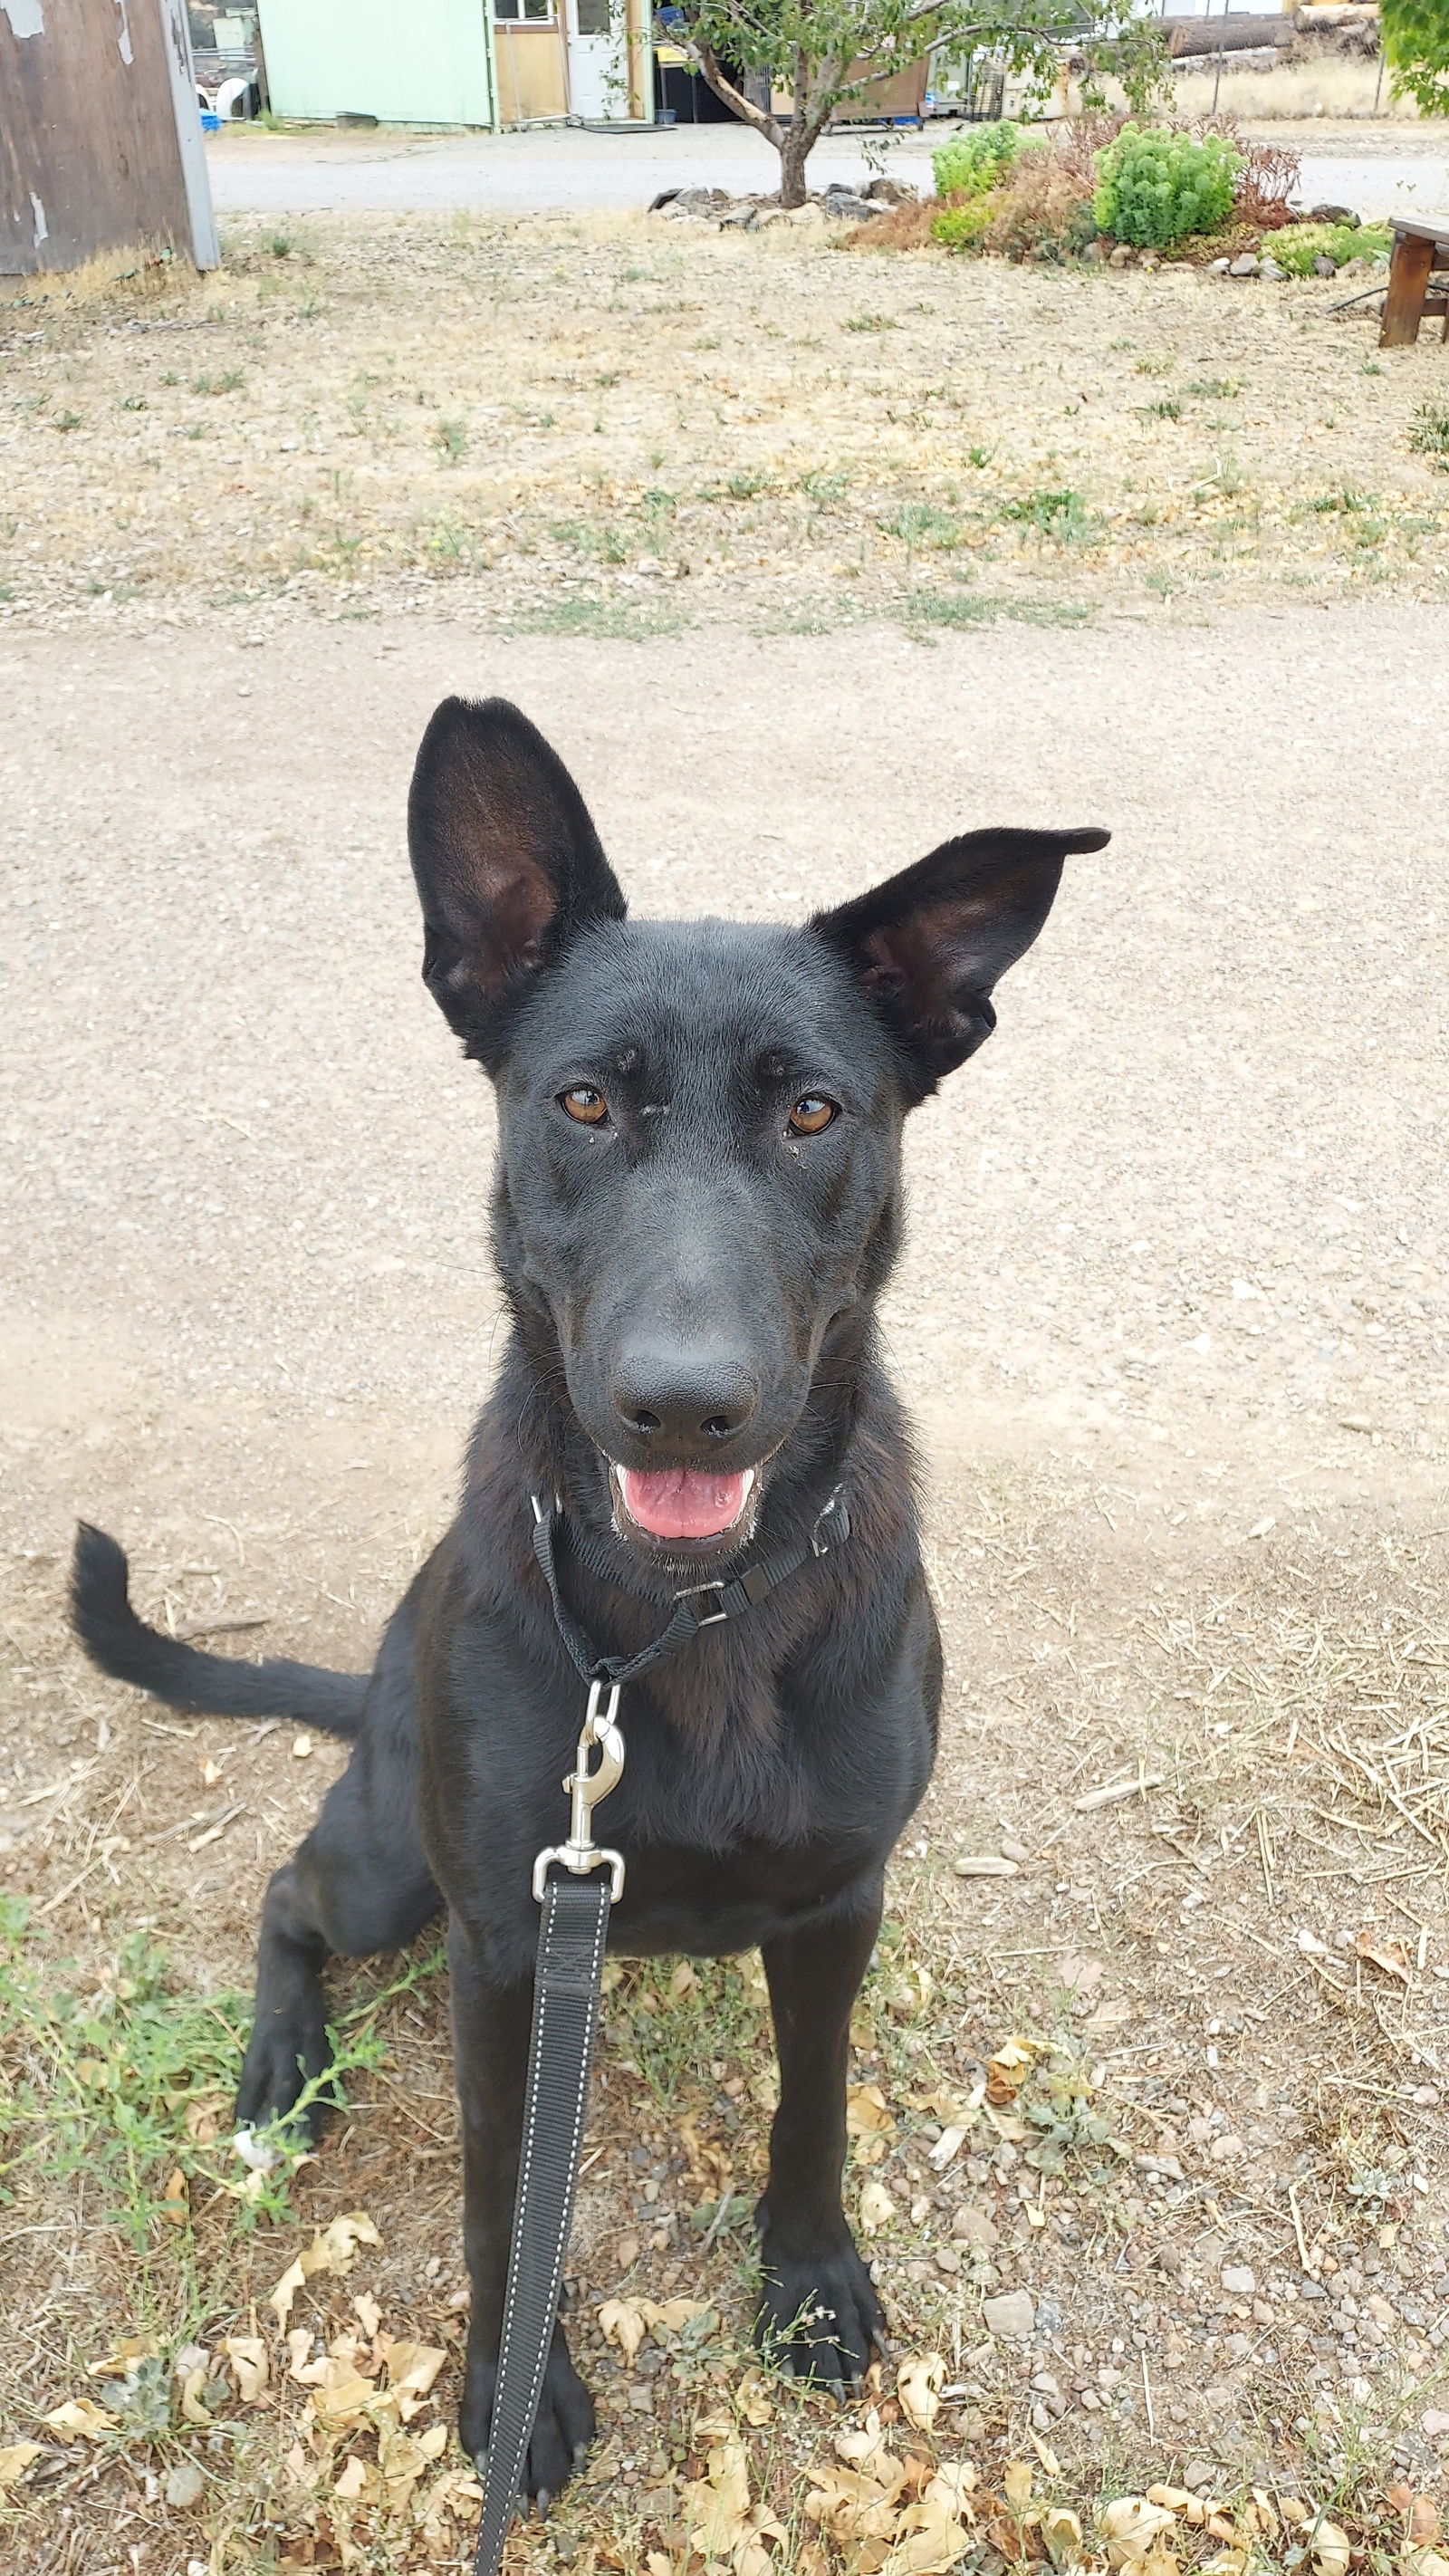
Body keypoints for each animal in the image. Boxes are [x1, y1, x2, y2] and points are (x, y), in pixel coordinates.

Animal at [71, 700, 1111, 2493]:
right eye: (581, 1101)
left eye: (814, 1114)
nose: (682, 1406)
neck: (683, 1622)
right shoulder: (501, 1937)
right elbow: (504, 2187)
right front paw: (513, 2389)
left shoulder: (837, 1903)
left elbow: (811, 2107)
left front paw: (809, 2277)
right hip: (387, 1866)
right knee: (286, 1893)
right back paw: (282, 2064)